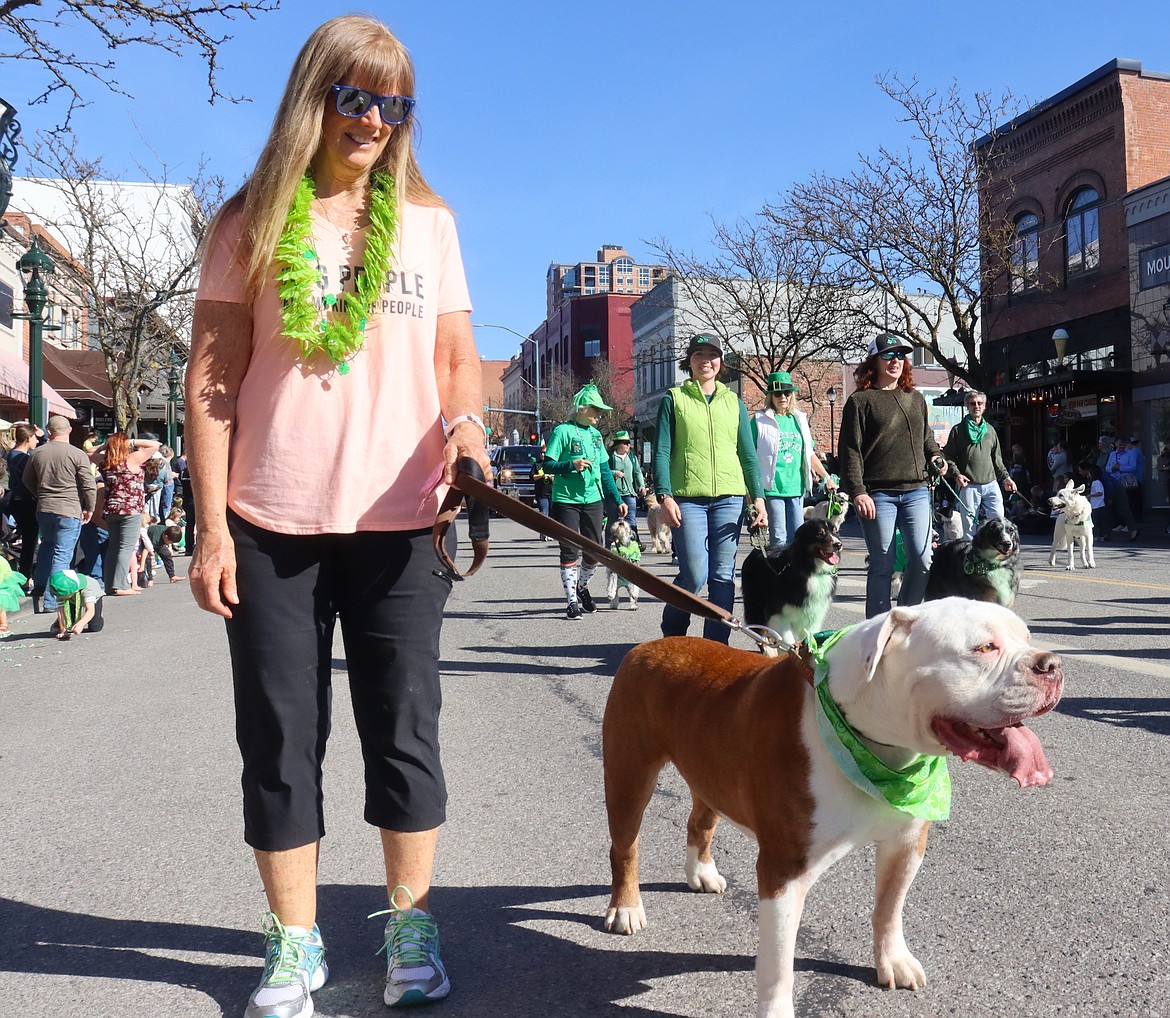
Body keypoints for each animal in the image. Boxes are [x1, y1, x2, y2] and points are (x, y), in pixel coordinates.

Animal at [603, 596, 1062, 1018]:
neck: (875, 746)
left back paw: (700, 873)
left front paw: (893, 961)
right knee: (624, 847)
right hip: (629, 777)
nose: (1053, 664)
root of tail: (647, 647)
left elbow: (889, 909)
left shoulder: (906, 844)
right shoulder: (784, 871)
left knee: (700, 821)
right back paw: (625, 908)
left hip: (709, 772)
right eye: (984, 647)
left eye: (1026, 638)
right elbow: (778, 966)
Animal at [739, 521, 842, 659]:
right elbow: (787, 641)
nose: (838, 545)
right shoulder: (777, 612)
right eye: (820, 534)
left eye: (835, 532)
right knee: (758, 630)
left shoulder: (814, 613)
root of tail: (758, 549)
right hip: (754, 602)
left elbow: (810, 638)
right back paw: (769, 651)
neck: (810, 569)